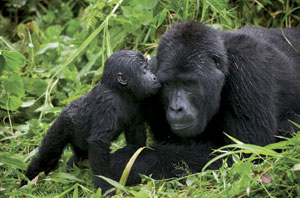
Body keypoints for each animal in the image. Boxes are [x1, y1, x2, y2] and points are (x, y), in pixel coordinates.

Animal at [20, 50, 161, 193]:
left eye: (148, 68)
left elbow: (135, 132)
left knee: (79, 156)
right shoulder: (107, 101)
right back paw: (27, 181)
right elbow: (99, 142)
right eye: (144, 70)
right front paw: (106, 185)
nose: (154, 77)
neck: (120, 91)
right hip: (61, 125)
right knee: (47, 156)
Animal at [110, 21, 300, 184]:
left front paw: (132, 160)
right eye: (168, 84)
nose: (176, 108)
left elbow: (245, 153)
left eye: (188, 83)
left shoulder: (249, 66)